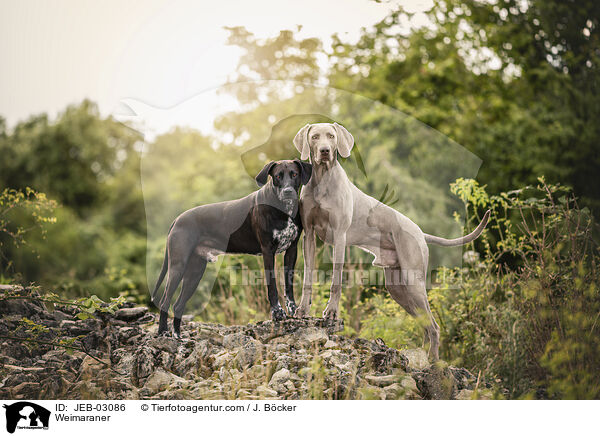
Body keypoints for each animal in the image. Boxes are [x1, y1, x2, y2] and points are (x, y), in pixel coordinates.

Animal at [292, 121, 490, 360]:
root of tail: (420, 232)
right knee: (425, 324)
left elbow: (336, 281)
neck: (323, 180)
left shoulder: (339, 236)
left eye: (331, 136)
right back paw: (420, 357)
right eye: (314, 137)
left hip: (413, 280)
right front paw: (303, 309)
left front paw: (331, 313)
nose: (324, 151)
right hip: (397, 286)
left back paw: (433, 361)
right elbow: (307, 277)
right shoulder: (309, 236)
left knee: (434, 326)